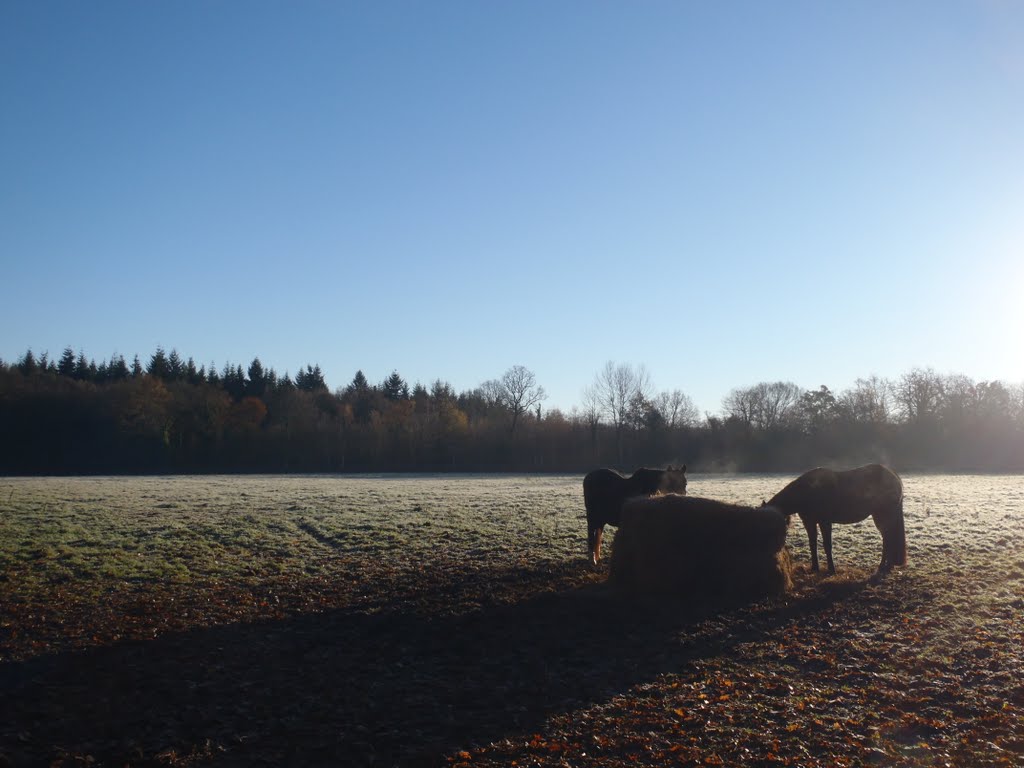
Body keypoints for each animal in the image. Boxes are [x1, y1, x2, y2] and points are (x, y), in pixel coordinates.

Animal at [770, 462, 905, 577]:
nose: (775, 557)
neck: (805, 492)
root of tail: (893, 475)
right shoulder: (809, 523)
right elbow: (812, 544)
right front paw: (814, 568)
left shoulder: (825, 522)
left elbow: (827, 545)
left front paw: (831, 570)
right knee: (889, 539)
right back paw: (887, 566)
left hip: (882, 517)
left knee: (888, 539)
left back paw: (883, 566)